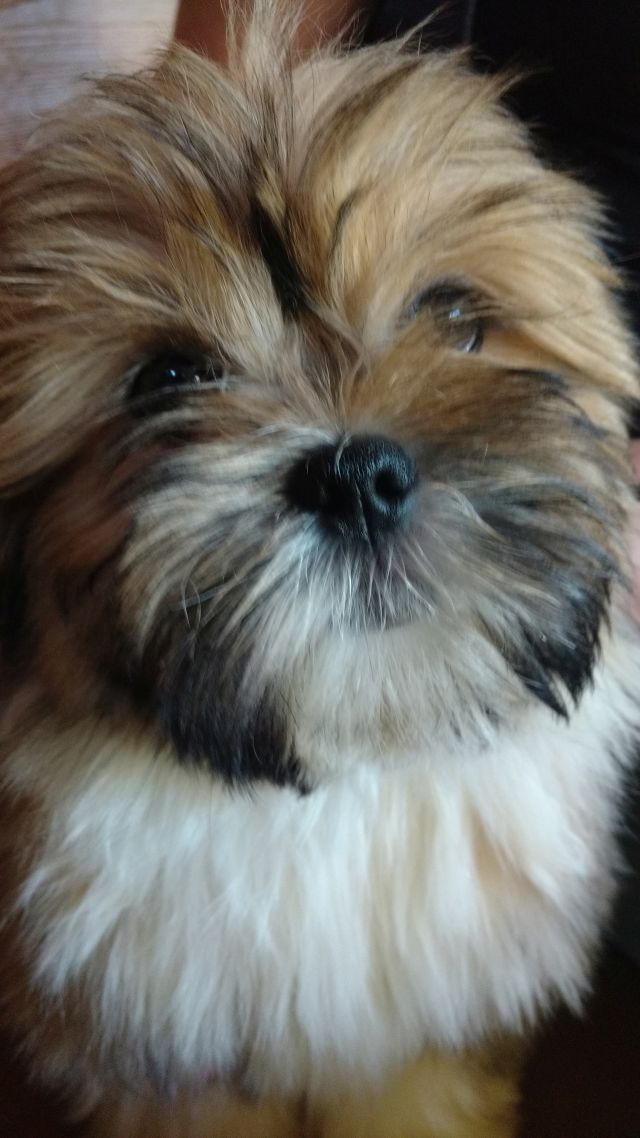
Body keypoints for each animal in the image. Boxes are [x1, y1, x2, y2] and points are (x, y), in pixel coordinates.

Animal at [0, 4, 638, 1135]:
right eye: (167, 378)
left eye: (455, 319)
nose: (356, 478)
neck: (338, 780)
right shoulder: (169, 1062)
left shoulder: (420, 1031)